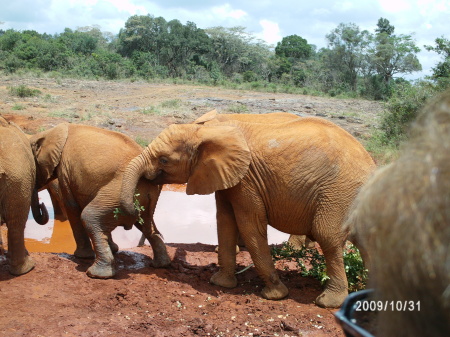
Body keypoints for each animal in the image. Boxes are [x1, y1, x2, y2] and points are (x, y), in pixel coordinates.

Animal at [120, 113, 376, 308]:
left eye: (164, 160)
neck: (205, 130)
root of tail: (372, 163)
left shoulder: (247, 181)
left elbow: (249, 224)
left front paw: (274, 295)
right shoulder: (226, 177)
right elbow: (225, 221)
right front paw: (220, 283)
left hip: (339, 192)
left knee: (328, 236)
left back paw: (327, 302)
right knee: (366, 242)